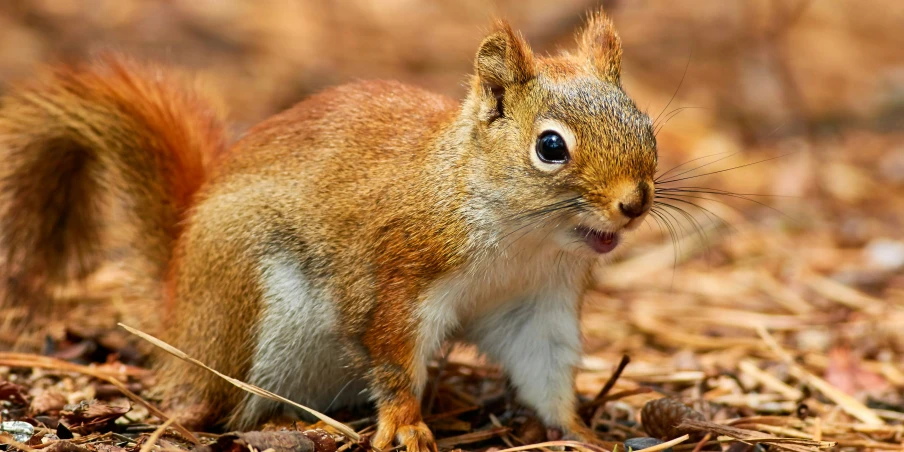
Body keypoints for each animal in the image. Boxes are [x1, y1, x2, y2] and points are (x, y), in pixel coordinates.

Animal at [0, 10, 648, 452]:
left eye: (643, 123)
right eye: (550, 147)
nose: (635, 203)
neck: (521, 239)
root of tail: (181, 307)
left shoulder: (536, 301)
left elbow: (545, 370)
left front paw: (583, 432)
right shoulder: (398, 275)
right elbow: (391, 356)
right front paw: (406, 423)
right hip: (254, 311)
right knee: (227, 405)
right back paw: (284, 421)